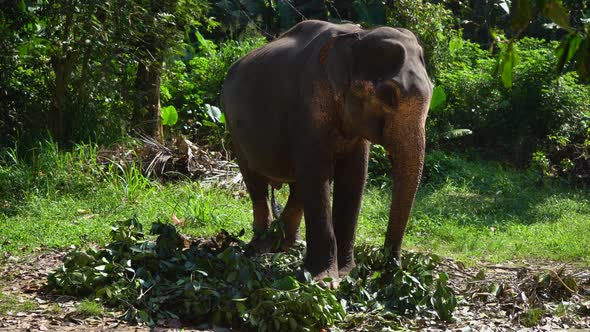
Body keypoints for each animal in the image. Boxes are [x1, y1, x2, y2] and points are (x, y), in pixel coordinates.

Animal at [222, 19, 434, 282]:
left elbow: (354, 176)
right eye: (388, 95)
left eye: (433, 89)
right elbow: (318, 173)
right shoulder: (308, 104)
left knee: (297, 187)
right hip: (232, 126)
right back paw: (260, 247)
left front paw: (346, 273)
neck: (357, 37)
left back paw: (285, 245)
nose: (385, 269)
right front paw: (324, 280)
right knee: (255, 181)